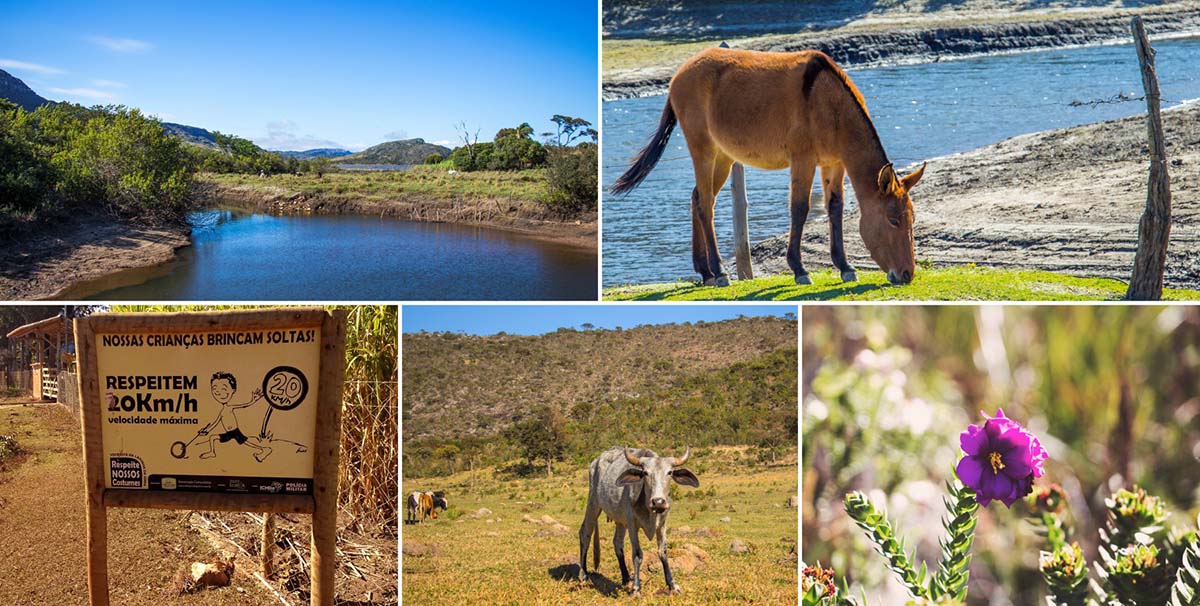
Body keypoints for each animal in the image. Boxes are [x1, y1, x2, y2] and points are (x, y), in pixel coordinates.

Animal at [609, 47, 926, 285]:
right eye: (893, 220)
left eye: (911, 218)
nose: (907, 274)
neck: (827, 99)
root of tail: (679, 74)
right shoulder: (803, 160)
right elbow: (800, 208)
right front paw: (799, 269)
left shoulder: (834, 164)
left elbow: (834, 209)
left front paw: (845, 267)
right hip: (703, 150)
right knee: (705, 205)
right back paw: (720, 272)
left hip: (724, 156)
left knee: (697, 198)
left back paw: (705, 271)